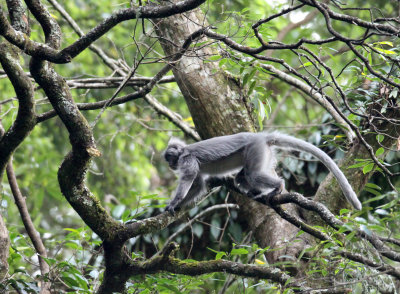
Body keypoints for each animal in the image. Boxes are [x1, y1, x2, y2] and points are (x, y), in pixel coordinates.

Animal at [162, 133, 362, 214]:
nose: (170, 165)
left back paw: (278, 187)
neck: (184, 150)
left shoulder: (186, 159)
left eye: (170, 158)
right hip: (262, 152)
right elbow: (197, 185)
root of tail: (260, 136)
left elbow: (189, 178)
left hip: (254, 149)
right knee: (241, 177)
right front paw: (176, 205)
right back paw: (255, 191)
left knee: (252, 175)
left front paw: (174, 203)